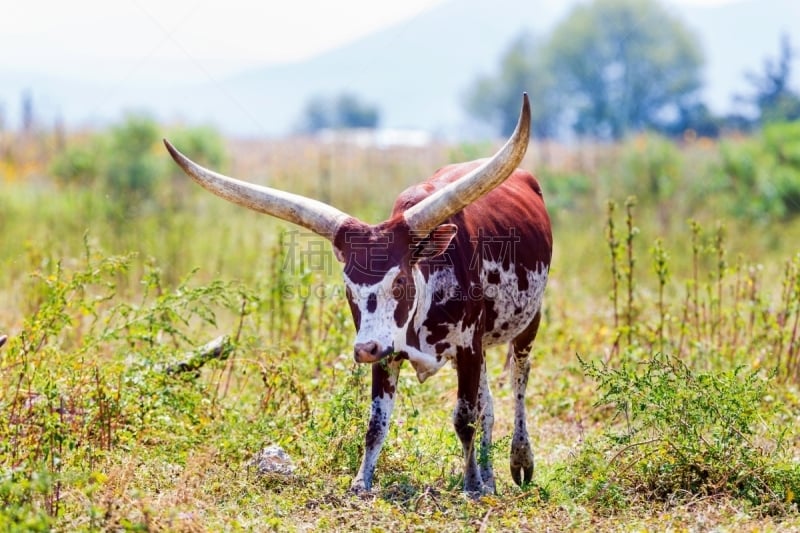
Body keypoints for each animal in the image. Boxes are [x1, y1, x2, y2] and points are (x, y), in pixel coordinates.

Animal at [162, 92, 552, 494]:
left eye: (398, 282)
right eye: (349, 287)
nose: (364, 349)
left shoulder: (468, 346)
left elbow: (465, 417)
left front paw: (472, 485)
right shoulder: (390, 352)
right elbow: (376, 423)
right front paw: (362, 481)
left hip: (528, 321)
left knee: (519, 379)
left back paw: (519, 461)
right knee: (488, 402)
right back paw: (491, 477)